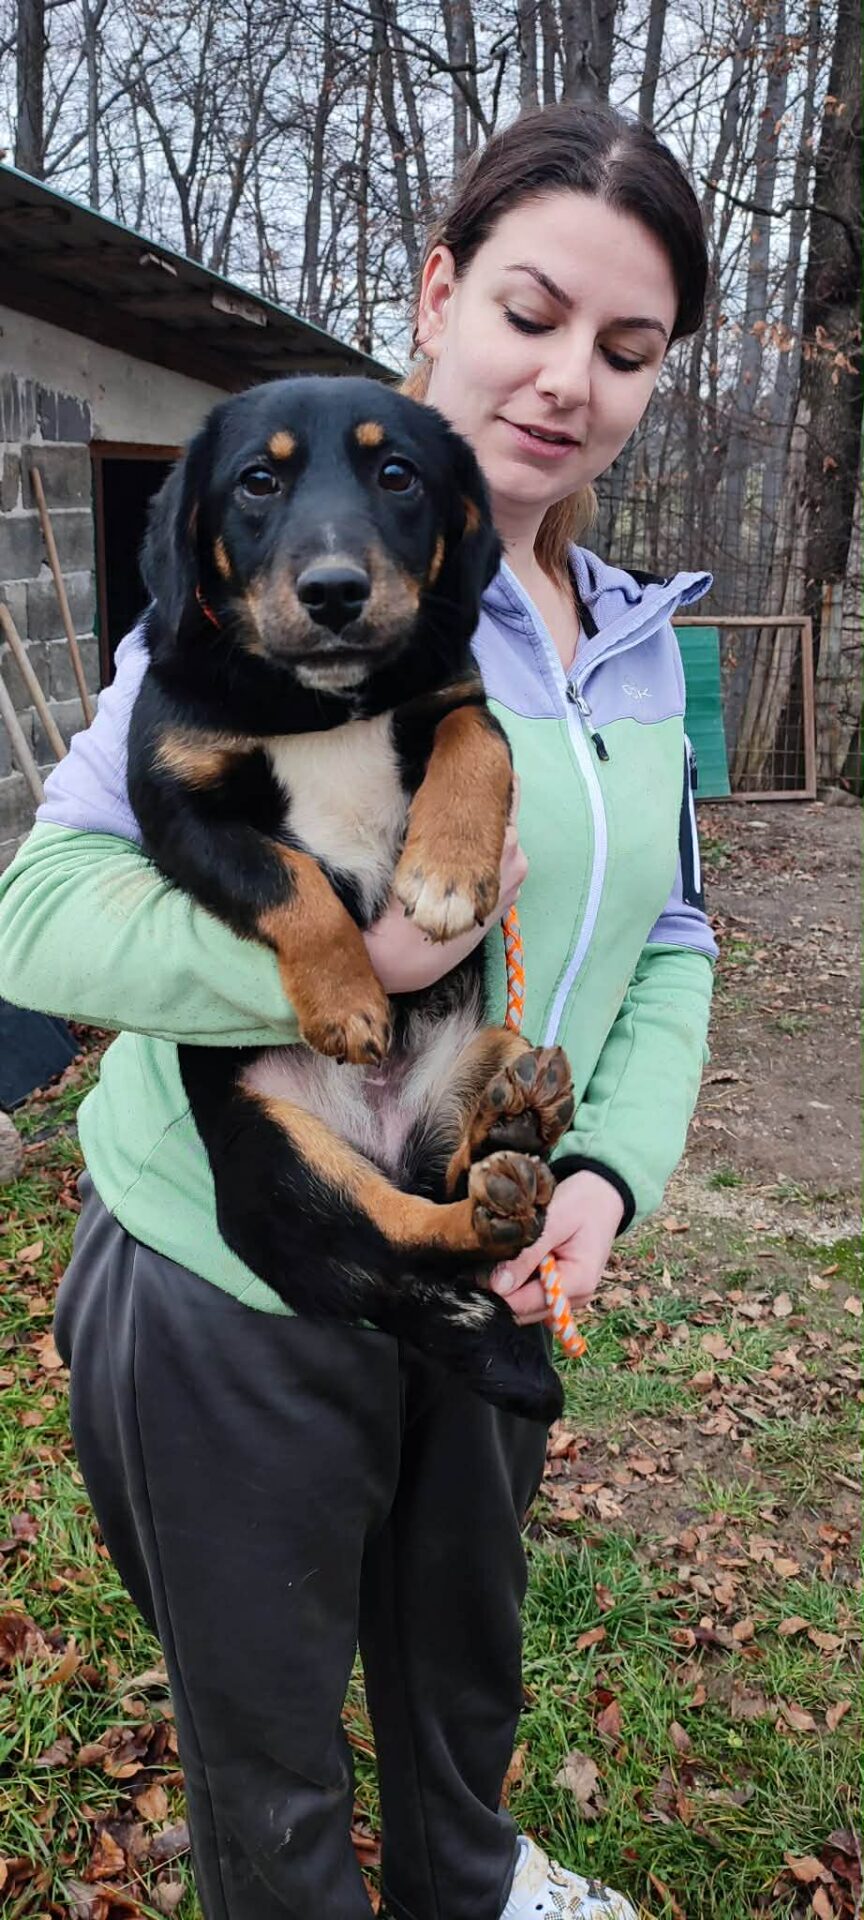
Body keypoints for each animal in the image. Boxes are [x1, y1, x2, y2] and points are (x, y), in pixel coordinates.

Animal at [127, 375, 574, 1422]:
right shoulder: (171, 799)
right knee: (399, 1231)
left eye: (398, 474)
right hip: (278, 1159)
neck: (318, 705)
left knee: (449, 1191)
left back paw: (516, 1129)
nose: (334, 593)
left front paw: (446, 872)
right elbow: (287, 881)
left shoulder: (456, 696)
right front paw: (349, 1004)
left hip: (491, 1045)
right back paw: (496, 1186)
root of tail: (384, 1135)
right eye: (257, 481)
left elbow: (476, 745)